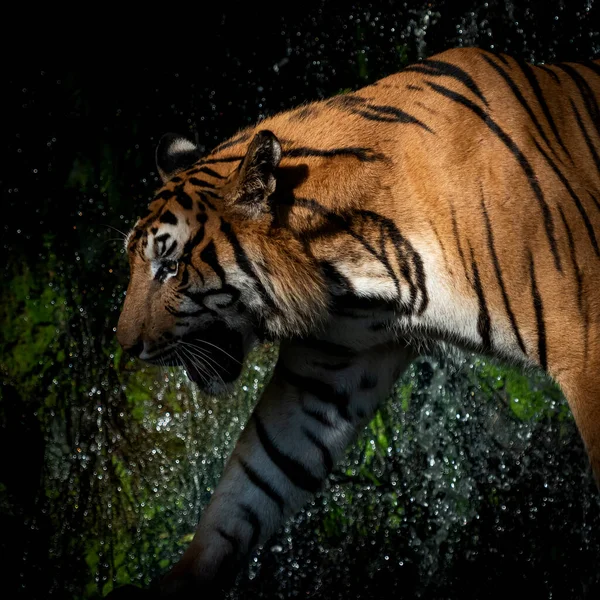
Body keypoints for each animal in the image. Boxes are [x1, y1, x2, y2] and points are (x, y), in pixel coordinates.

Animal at [113, 49, 600, 596]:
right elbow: (255, 477)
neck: (348, 266)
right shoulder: (329, 370)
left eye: (169, 266)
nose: (125, 345)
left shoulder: (587, 346)